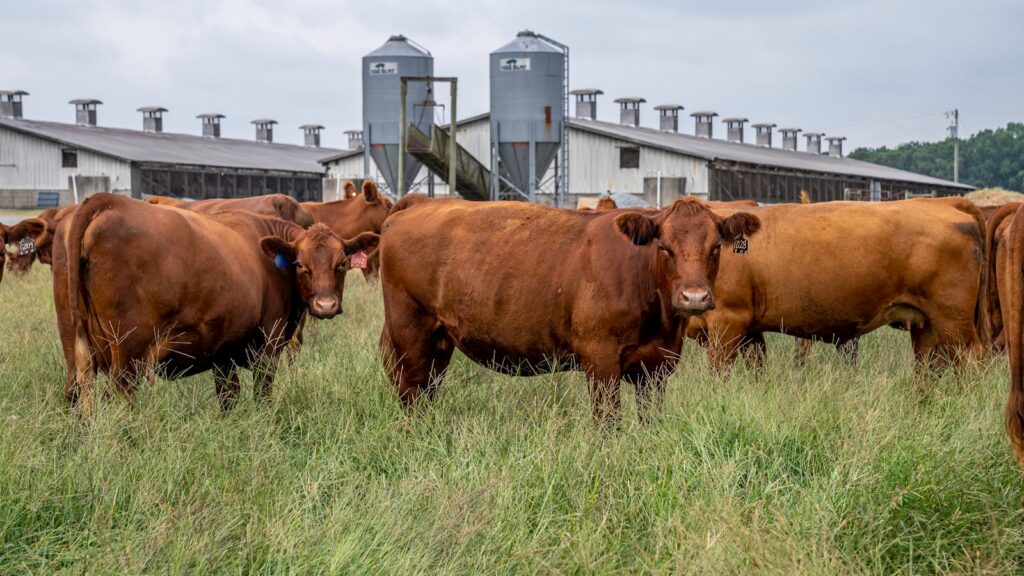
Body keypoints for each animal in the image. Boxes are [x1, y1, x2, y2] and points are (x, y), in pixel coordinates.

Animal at [54, 193, 379, 415]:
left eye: (341, 263)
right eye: (300, 264)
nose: (325, 305)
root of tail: (107, 200)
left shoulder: (223, 351)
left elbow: (228, 397)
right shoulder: (268, 345)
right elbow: (262, 394)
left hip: (74, 343)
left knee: (74, 393)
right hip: (128, 353)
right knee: (120, 398)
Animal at [378, 195, 761, 422]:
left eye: (716, 247)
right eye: (664, 247)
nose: (694, 297)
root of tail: (421, 201)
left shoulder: (656, 367)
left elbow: (649, 420)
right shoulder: (600, 361)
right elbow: (609, 423)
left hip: (439, 340)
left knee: (427, 391)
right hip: (410, 332)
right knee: (411, 392)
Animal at [685, 198, 988, 373]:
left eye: (714, 246)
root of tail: (944, 202)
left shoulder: (728, 320)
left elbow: (719, 371)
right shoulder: (750, 329)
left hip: (952, 319)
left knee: (970, 358)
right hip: (925, 322)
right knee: (926, 364)